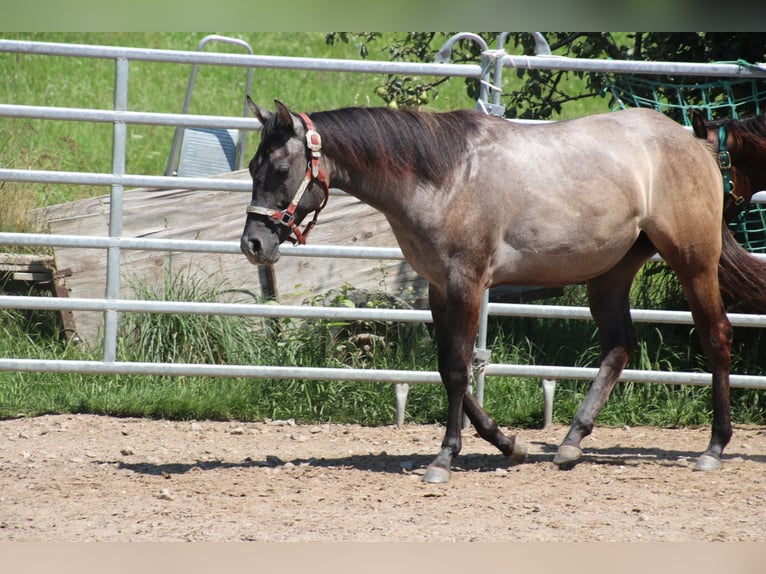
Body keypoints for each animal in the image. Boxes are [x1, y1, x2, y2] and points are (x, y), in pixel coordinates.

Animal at [240, 100, 766, 486]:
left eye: (281, 169)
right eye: (251, 166)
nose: (253, 244)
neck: (444, 177)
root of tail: (693, 145)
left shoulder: (467, 283)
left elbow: (457, 370)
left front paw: (444, 460)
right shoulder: (439, 289)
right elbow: (446, 368)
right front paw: (509, 443)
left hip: (694, 262)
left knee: (717, 337)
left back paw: (713, 448)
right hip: (610, 274)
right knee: (619, 346)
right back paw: (570, 443)